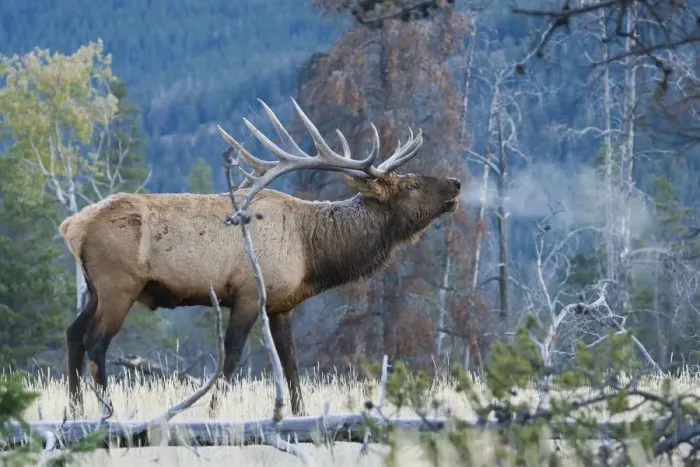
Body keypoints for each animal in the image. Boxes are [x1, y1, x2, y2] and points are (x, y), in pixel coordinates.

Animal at [59, 97, 462, 419]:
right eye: (411, 184)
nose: (456, 183)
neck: (311, 253)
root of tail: (71, 226)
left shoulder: (282, 305)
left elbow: (292, 365)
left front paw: (301, 415)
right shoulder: (249, 293)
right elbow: (231, 358)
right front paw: (212, 414)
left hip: (94, 289)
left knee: (73, 333)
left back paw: (75, 411)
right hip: (119, 286)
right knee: (96, 341)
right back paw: (107, 412)